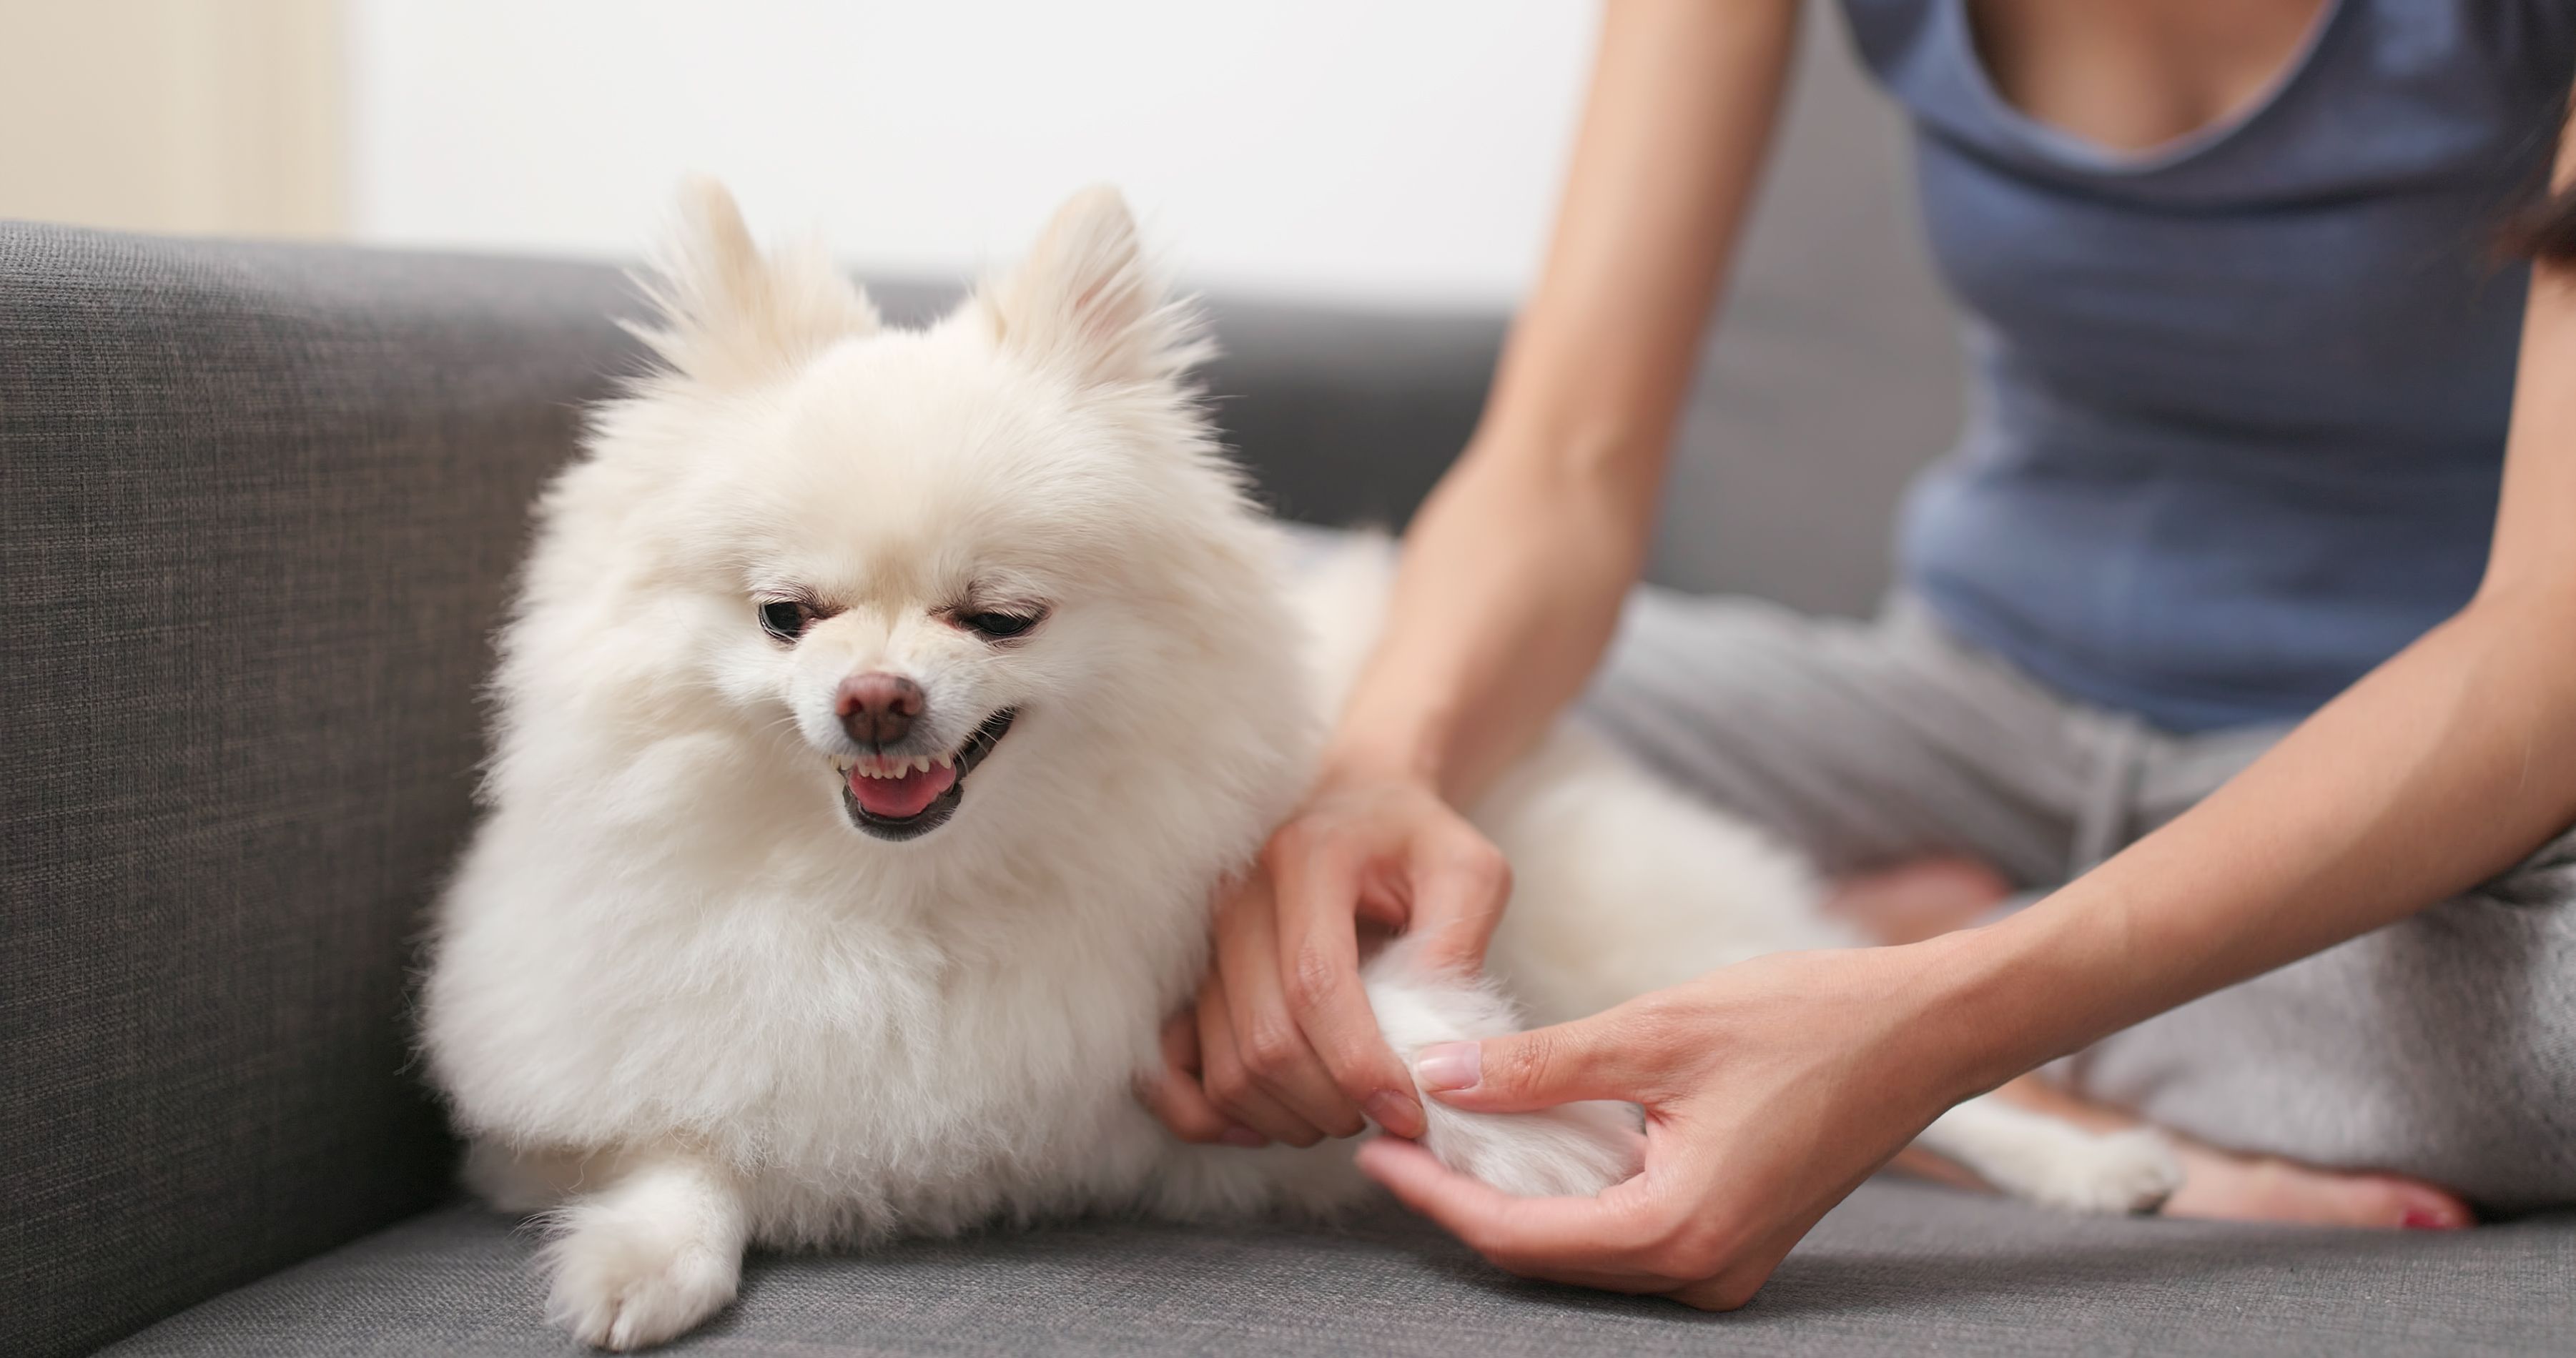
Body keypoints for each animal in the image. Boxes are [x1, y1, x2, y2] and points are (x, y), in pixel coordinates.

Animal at [417, 177, 2173, 1350]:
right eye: (787, 617)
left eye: (997, 614)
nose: (871, 701)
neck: (925, 895)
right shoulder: (580, 1087)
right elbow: (684, 1142)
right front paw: (634, 1263)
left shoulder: (1259, 965)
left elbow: (1411, 1038)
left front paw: (1540, 1142)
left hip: (1643, 928)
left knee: (1887, 1039)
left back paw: (2104, 1169)